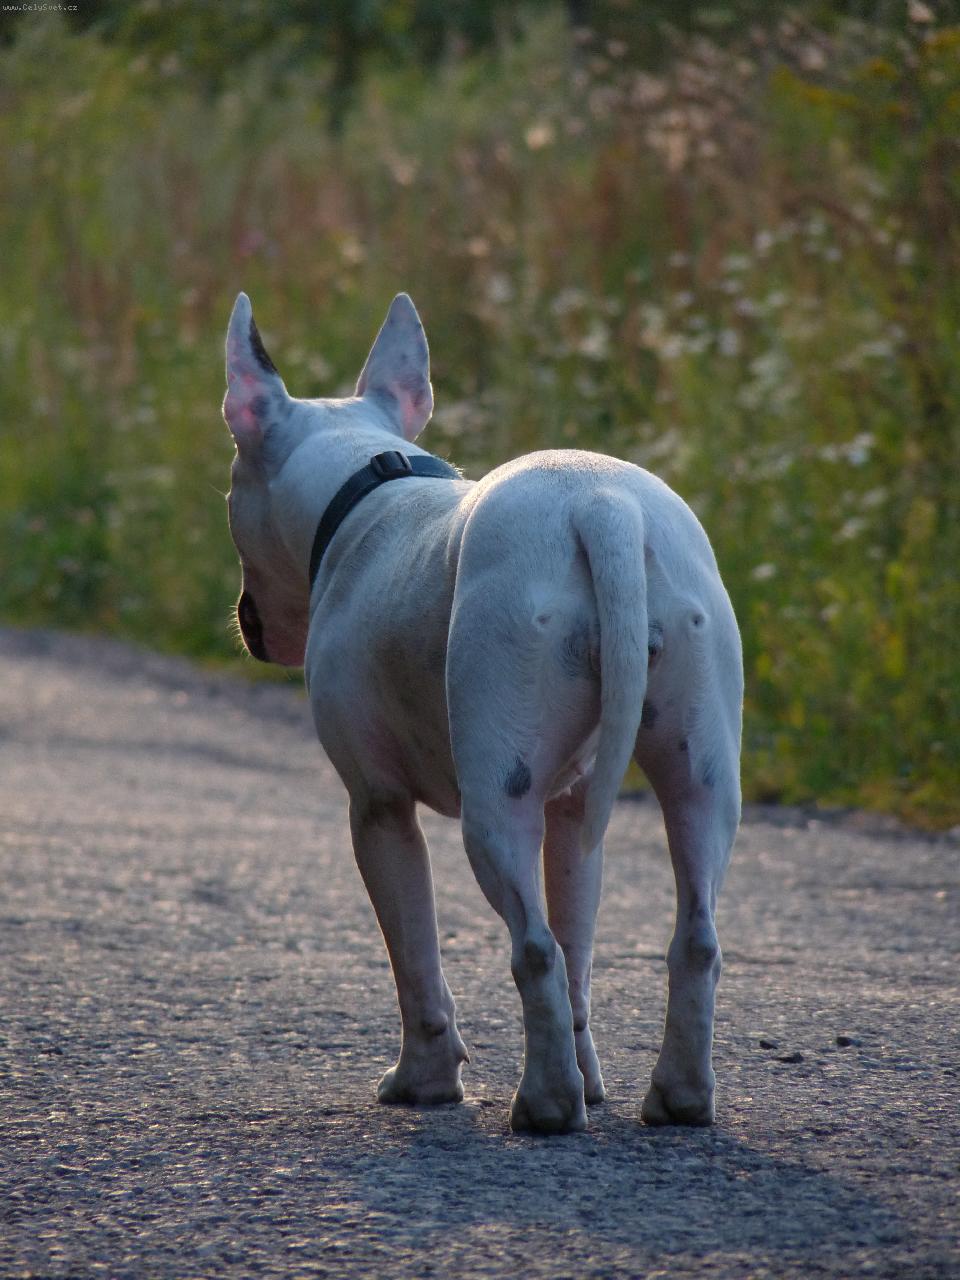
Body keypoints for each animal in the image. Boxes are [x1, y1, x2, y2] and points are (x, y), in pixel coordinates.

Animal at [222, 291, 743, 1134]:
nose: (250, 625)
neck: (367, 486)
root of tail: (602, 508)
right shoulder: (572, 813)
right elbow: (578, 948)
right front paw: (591, 1076)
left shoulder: (378, 811)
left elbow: (416, 959)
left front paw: (424, 1081)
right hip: (698, 760)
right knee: (683, 933)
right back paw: (675, 1096)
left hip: (496, 800)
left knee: (532, 945)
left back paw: (548, 1105)